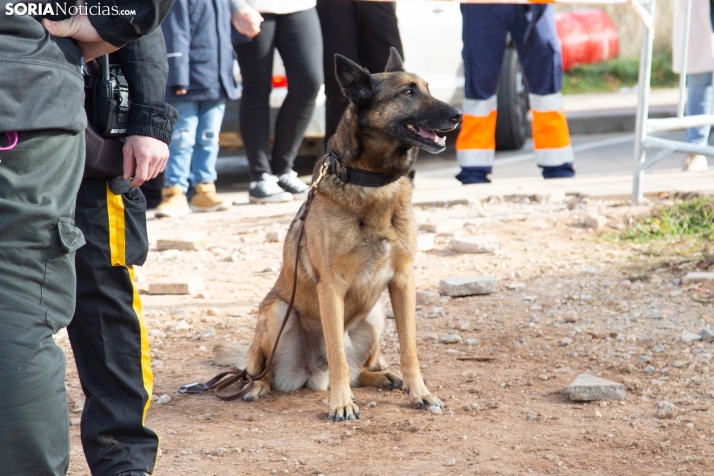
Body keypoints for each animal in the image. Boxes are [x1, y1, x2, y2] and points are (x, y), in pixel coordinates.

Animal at [214, 48, 462, 420]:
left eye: (428, 88)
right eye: (408, 93)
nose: (458, 114)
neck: (372, 182)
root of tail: (310, 373)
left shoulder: (403, 281)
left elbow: (409, 349)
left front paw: (419, 392)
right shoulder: (331, 287)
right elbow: (338, 357)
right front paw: (341, 403)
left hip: (375, 317)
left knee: (360, 368)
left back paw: (384, 377)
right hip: (275, 313)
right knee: (260, 370)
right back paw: (257, 386)